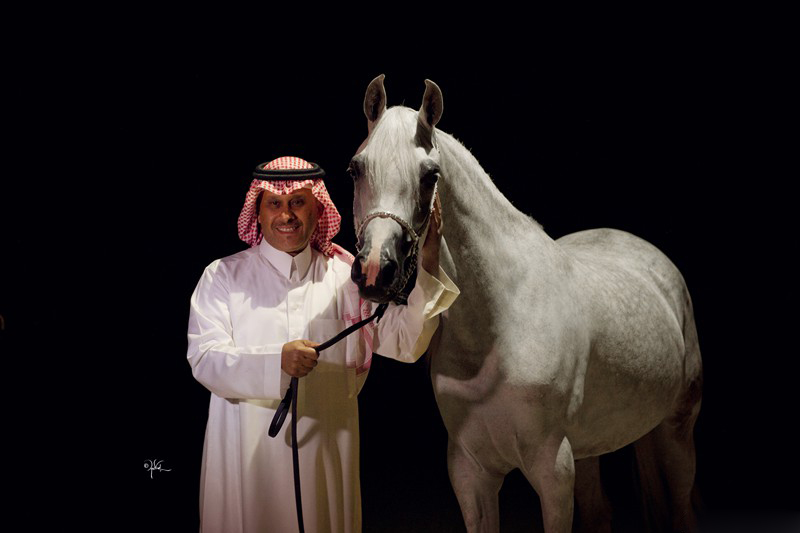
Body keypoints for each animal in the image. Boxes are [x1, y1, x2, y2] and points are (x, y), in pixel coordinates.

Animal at [348, 74, 703, 533]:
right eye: (356, 168)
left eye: (430, 175)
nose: (377, 269)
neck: (500, 322)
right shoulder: (471, 473)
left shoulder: (553, 470)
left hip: (677, 431)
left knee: (682, 510)